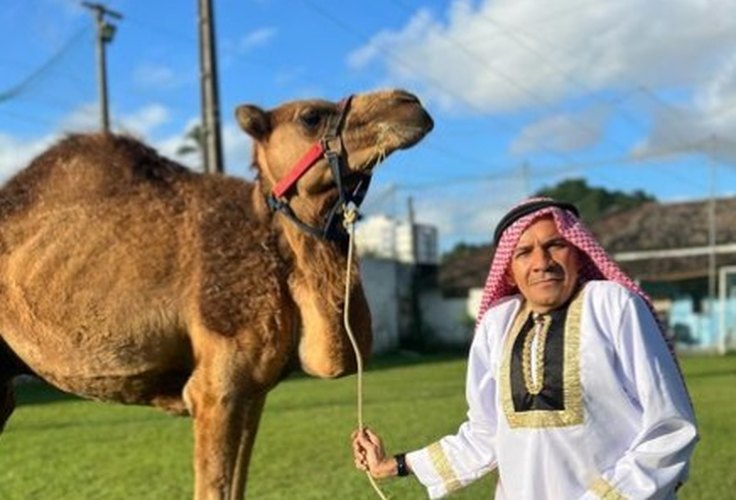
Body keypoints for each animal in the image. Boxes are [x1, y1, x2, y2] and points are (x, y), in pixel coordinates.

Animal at [0, 89, 432, 496]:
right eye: (310, 115)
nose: (410, 103)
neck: (268, 237)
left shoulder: (255, 391)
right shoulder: (216, 389)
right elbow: (215, 486)